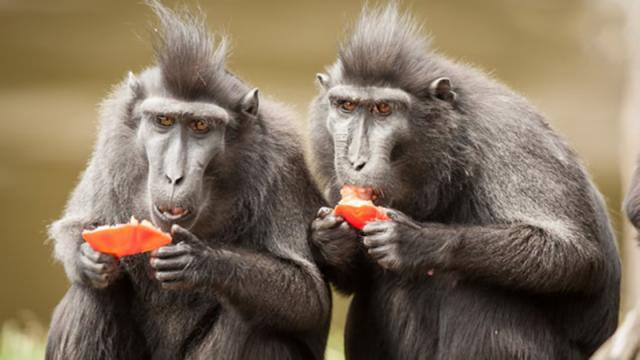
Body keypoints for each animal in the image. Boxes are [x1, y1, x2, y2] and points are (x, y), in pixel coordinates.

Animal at [46, 1, 330, 358]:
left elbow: (309, 297)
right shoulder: (113, 143)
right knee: (93, 293)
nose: (173, 176)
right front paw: (89, 257)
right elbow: (75, 226)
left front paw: (201, 262)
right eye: (164, 120)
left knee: (254, 325)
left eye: (200, 126)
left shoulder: (283, 160)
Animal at [310, 5, 620, 360]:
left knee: (476, 292)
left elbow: (577, 256)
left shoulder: (511, 135)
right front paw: (332, 239)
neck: (451, 150)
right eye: (346, 105)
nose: (355, 160)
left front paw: (420, 242)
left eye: (384, 108)